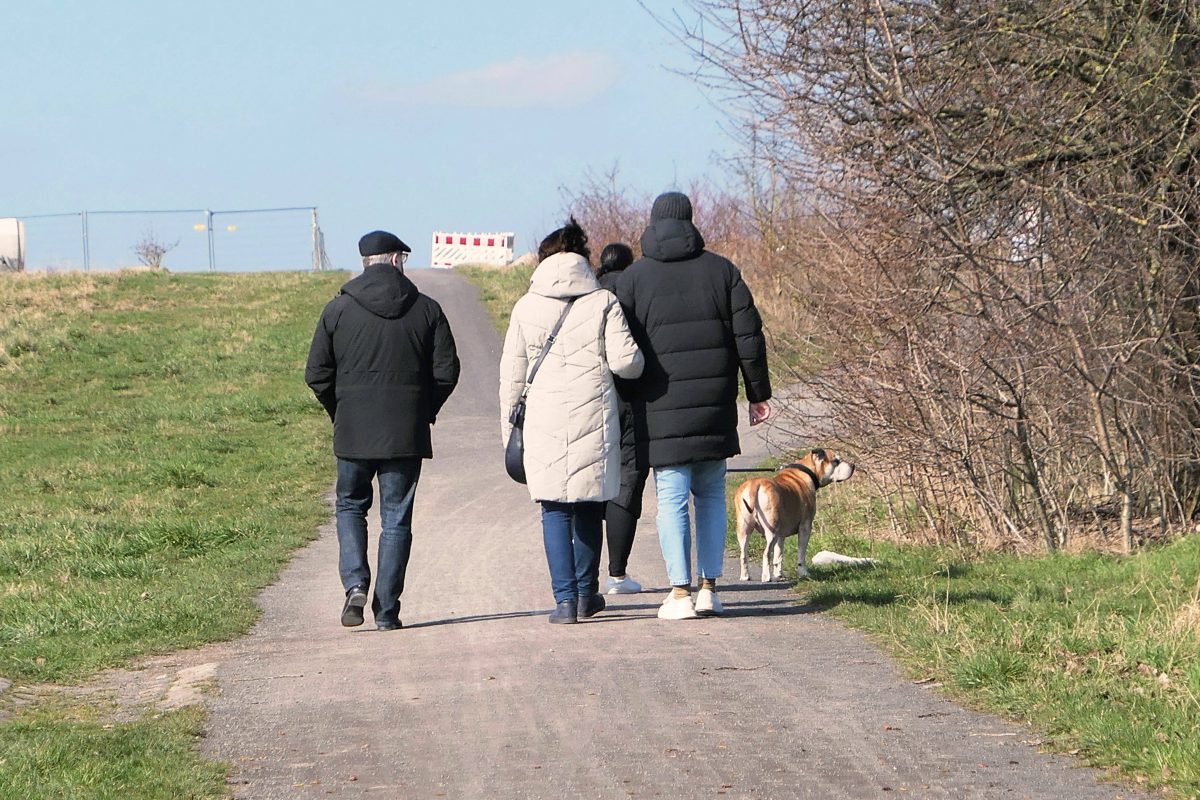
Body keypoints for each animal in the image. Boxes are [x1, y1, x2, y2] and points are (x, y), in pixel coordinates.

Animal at [729, 450, 864, 582]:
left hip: (743, 529)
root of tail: (755, 485)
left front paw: (779, 574)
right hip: (771, 531)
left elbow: (779, 554)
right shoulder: (805, 527)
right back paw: (766, 577)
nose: (853, 465)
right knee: (766, 553)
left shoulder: (781, 535)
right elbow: (801, 553)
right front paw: (803, 572)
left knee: (743, 554)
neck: (808, 470)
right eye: (836, 461)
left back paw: (745, 576)